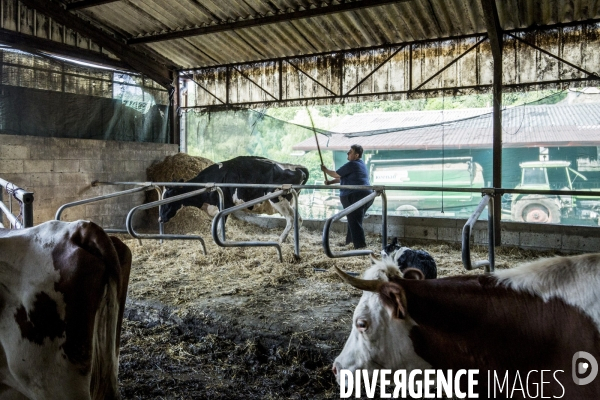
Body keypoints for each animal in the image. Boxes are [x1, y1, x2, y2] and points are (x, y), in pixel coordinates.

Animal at [159, 156, 310, 244]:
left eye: (168, 197)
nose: (160, 219)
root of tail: (297, 167)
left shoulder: (224, 205)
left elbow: (219, 228)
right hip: (290, 202)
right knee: (299, 219)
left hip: (279, 199)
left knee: (291, 218)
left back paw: (281, 239)